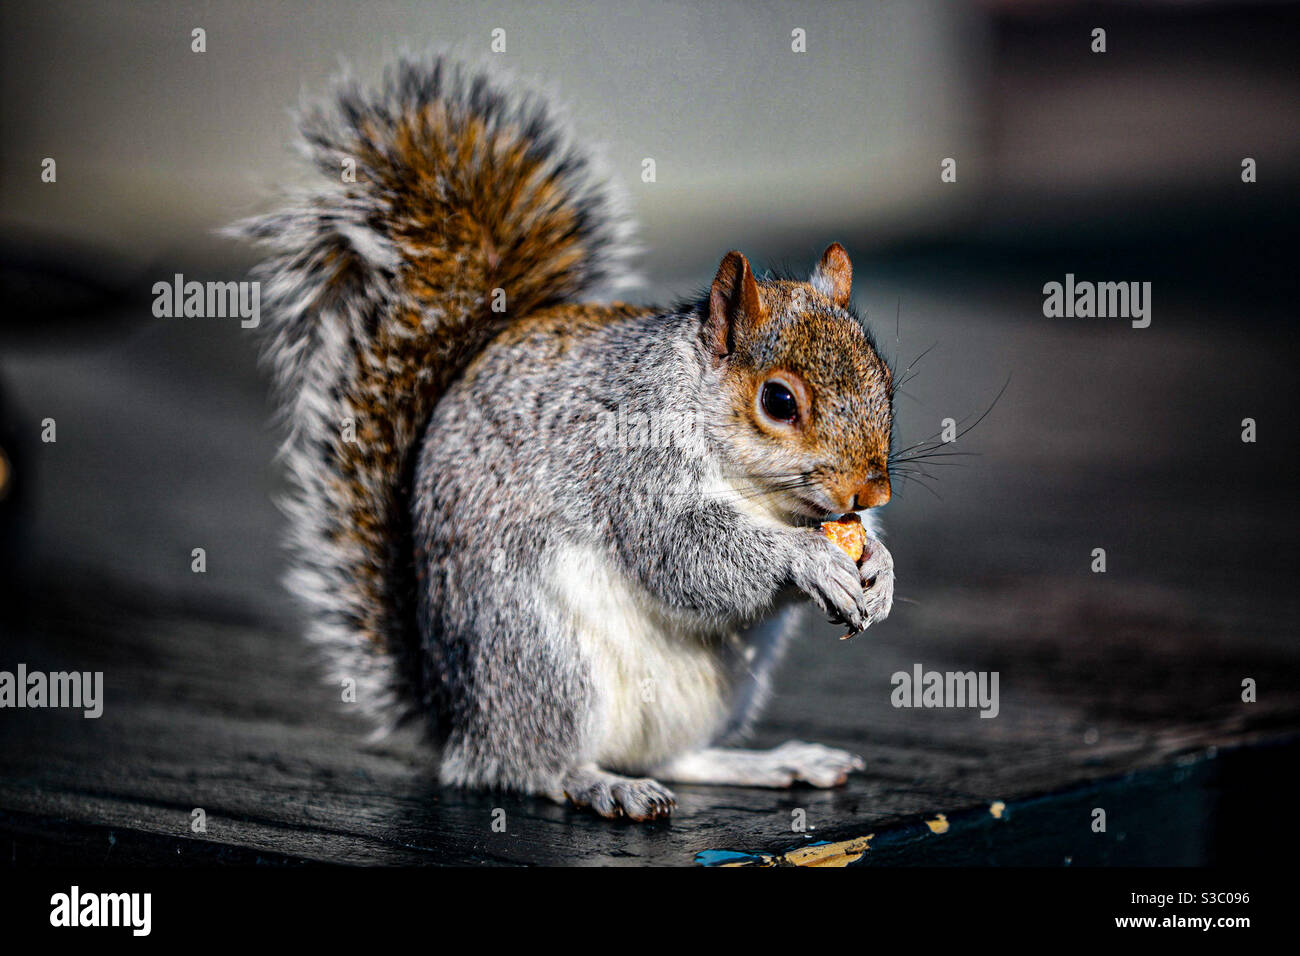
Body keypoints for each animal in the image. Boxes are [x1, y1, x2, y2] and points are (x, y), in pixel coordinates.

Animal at [231, 55, 894, 822]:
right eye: (779, 401)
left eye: (883, 376)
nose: (872, 489)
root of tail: (459, 720)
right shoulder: (630, 460)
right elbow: (684, 551)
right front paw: (807, 560)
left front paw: (879, 568)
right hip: (541, 657)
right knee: (524, 766)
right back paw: (598, 782)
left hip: (717, 691)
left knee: (675, 757)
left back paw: (773, 763)